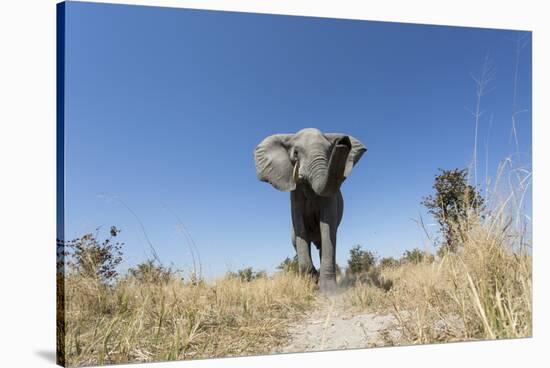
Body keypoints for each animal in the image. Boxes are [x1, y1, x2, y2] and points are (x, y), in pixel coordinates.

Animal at [256, 128, 368, 292]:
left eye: (329, 150)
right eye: (296, 153)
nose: (343, 141)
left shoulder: (331, 198)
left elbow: (327, 227)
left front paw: (329, 291)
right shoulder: (294, 194)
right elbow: (300, 228)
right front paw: (312, 281)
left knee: (324, 244)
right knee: (298, 242)